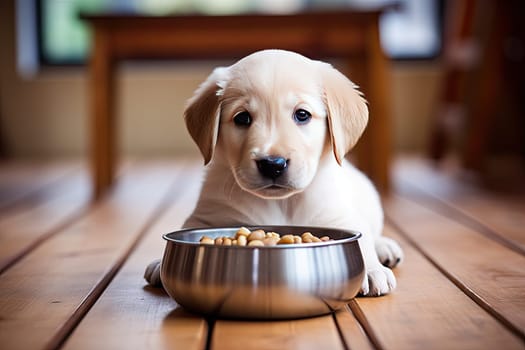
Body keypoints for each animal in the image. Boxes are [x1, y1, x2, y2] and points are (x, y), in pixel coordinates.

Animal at [145, 49, 404, 296]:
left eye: (302, 114)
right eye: (242, 118)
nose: (272, 164)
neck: (282, 203)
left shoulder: (338, 215)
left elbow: (362, 238)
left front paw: (371, 269)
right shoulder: (207, 215)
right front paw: (160, 261)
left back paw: (386, 247)